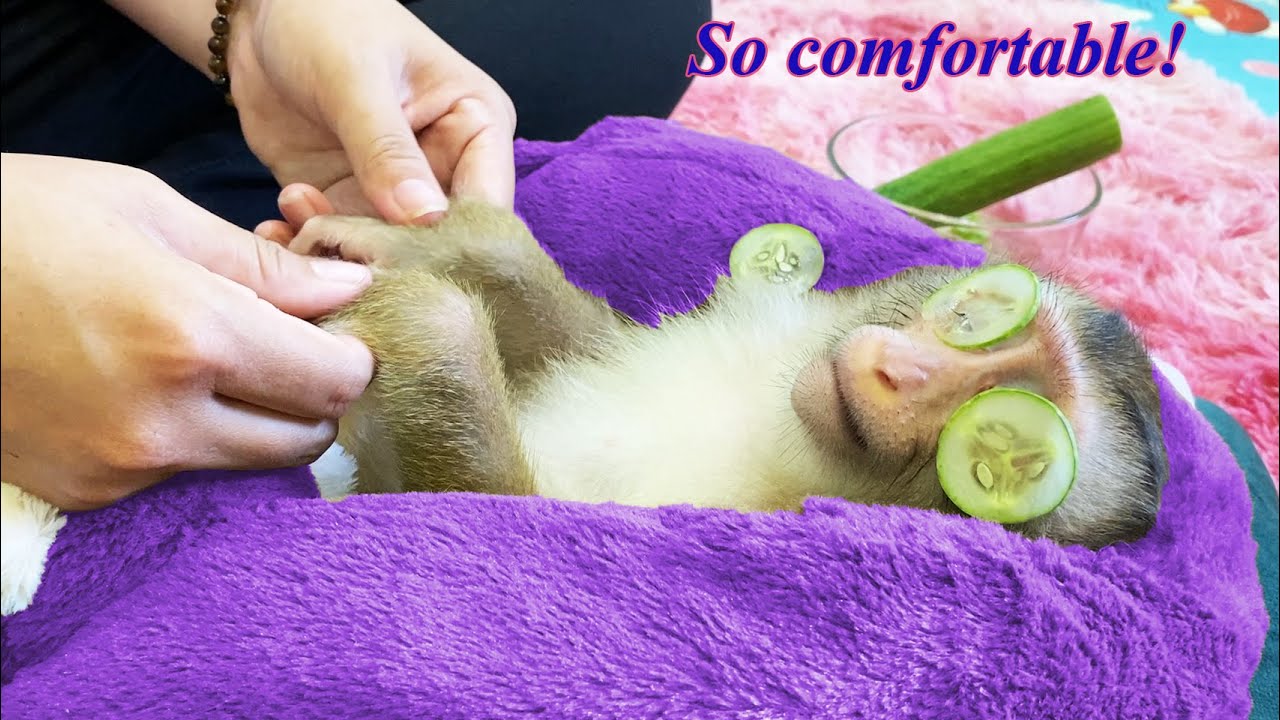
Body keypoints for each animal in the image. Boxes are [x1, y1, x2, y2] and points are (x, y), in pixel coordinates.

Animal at [297, 200, 1169, 550]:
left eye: (1000, 437)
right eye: (973, 319)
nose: (900, 370)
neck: (776, 429)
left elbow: (476, 511)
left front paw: (426, 318)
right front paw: (445, 247)